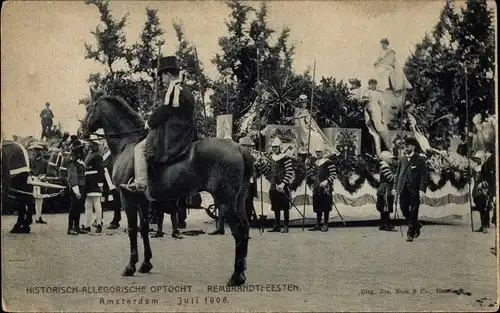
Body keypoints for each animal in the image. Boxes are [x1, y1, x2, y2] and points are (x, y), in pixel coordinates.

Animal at [79, 92, 254, 286]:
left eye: (88, 108)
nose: (80, 132)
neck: (126, 144)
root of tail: (239, 148)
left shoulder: (127, 198)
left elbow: (132, 230)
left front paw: (130, 266)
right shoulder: (143, 201)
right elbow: (144, 229)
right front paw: (146, 264)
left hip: (225, 201)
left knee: (239, 232)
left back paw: (236, 276)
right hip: (238, 201)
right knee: (245, 229)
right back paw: (242, 273)